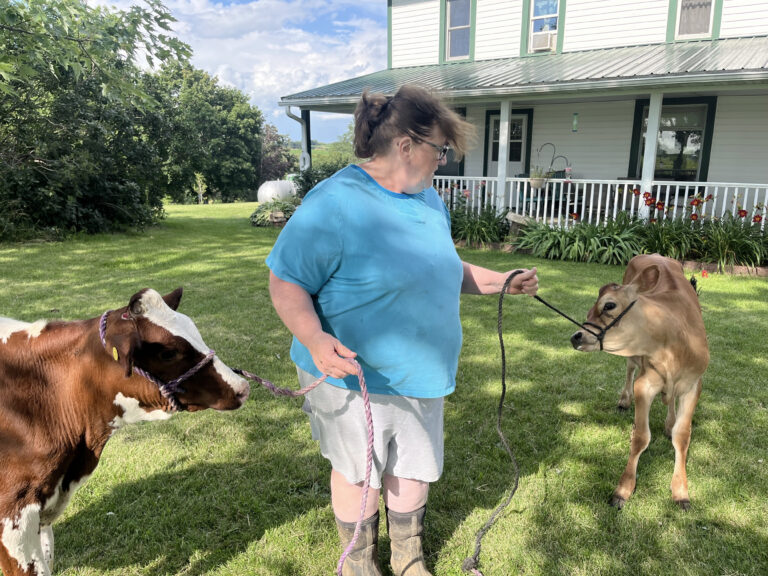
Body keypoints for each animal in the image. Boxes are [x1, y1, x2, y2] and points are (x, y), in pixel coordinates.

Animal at [568, 254, 708, 510]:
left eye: (609, 305)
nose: (576, 336)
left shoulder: (694, 384)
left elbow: (682, 435)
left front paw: (681, 491)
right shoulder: (645, 384)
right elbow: (641, 436)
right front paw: (623, 489)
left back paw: (669, 422)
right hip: (634, 361)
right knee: (630, 367)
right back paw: (624, 400)